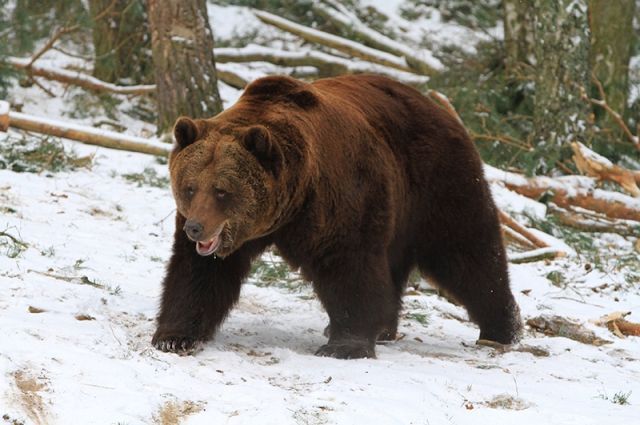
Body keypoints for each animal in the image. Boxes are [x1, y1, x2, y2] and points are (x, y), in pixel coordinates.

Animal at [152, 73, 524, 358]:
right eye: (189, 187)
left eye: (222, 191)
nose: (196, 228)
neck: (291, 204)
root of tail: (441, 109)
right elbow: (199, 273)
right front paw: (173, 337)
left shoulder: (339, 201)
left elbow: (349, 265)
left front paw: (345, 345)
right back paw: (385, 327)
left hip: (437, 184)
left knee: (467, 253)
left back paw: (501, 330)